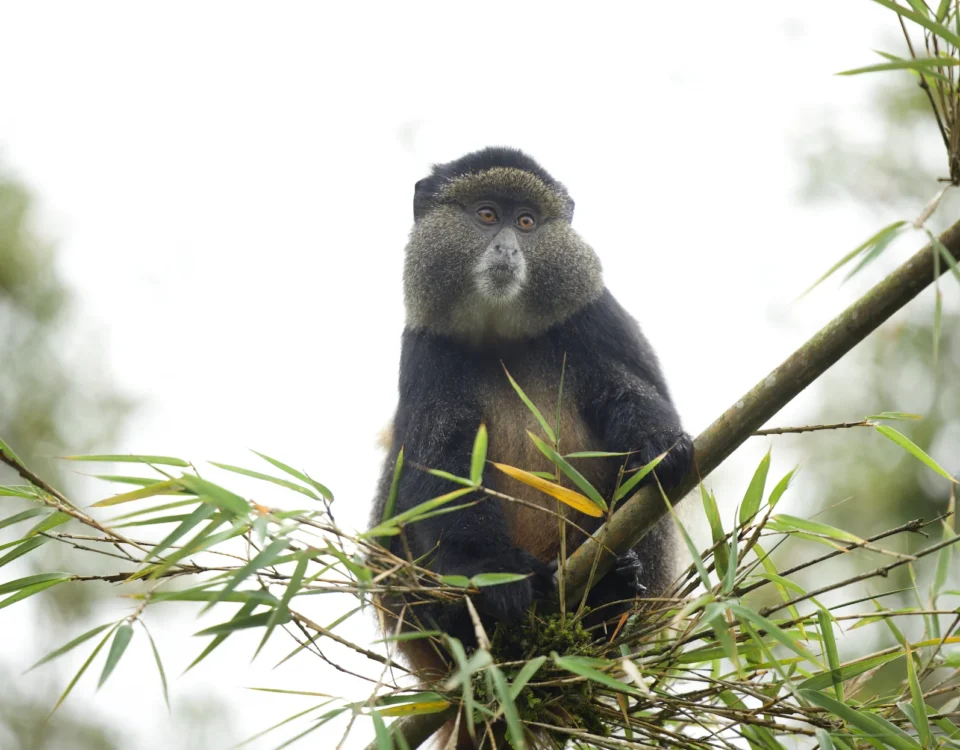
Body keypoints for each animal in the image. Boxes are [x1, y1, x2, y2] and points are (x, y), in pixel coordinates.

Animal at [369, 146, 693, 746]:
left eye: (526, 222)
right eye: (486, 215)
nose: (505, 248)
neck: (502, 332)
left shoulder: (595, 317)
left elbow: (628, 396)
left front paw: (660, 444)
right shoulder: (425, 348)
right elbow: (439, 465)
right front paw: (496, 574)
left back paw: (609, 595)